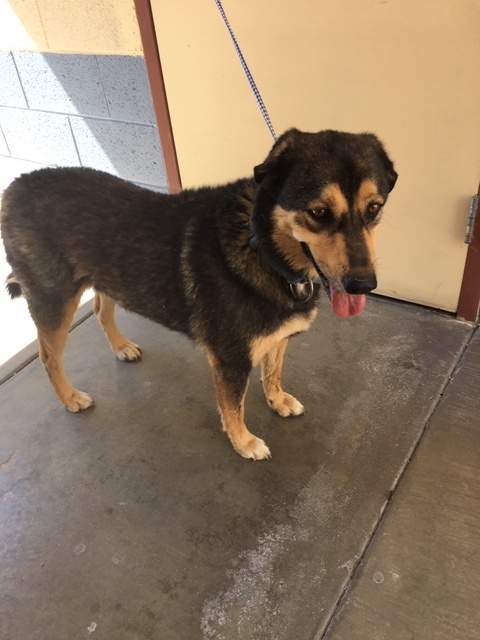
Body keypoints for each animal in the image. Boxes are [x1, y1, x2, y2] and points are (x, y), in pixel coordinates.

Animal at [0, 129, 398, 460]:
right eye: (318, 211)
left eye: (374, 208)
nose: (363, 285)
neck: (261, 245)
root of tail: (16, 185)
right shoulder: (230, 360)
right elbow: (234, 407)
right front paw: (244, 442)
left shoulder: (276, 338)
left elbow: (273, 371)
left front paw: (277, 400)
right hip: (54, 298)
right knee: (48, 356)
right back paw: (70, 397)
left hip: (104, 276)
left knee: (100, 308)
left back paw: (121, 347)